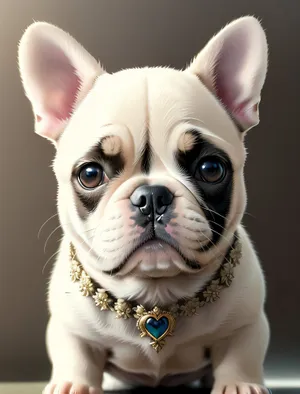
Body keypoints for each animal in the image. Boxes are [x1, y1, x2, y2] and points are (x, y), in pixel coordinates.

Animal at [18, 16, 270, 394]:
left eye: (211, 169)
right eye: (90, 174)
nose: (151, 197)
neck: (156, 291)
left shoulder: (247, 323)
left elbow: (240, 353)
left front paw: (239, 384)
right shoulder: (68, 328)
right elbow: (76, 354)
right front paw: (73, 385)